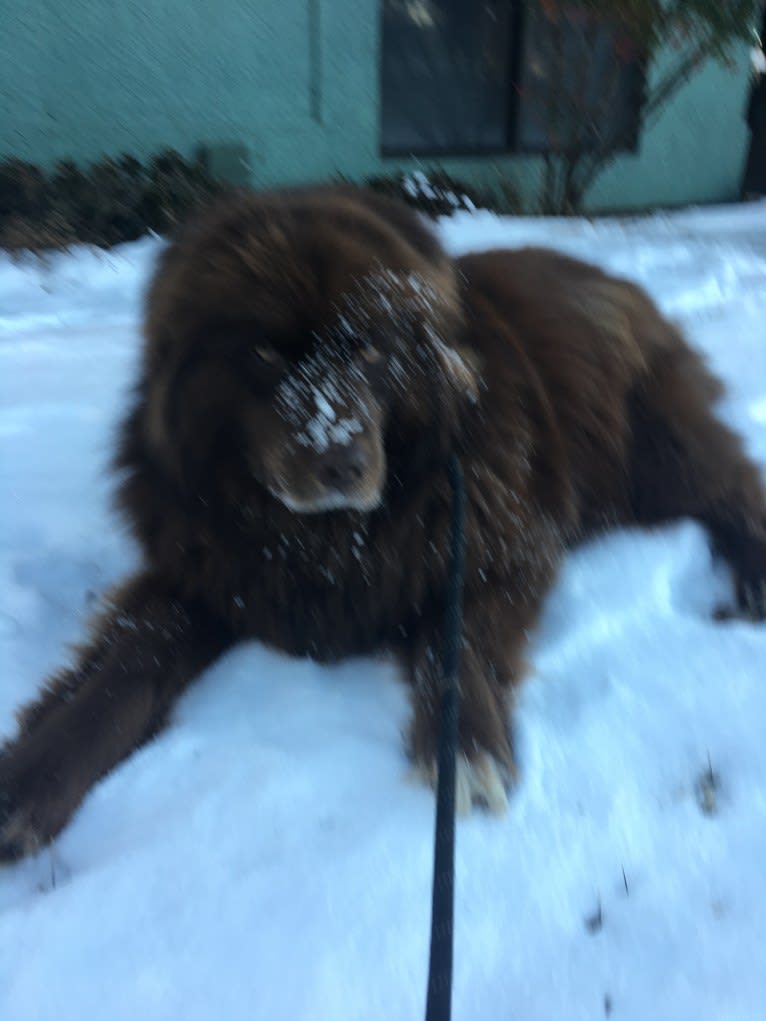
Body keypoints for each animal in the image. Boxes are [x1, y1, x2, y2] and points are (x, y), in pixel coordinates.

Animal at [1, 187, 766, 857]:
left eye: (369, 349)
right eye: (264, 352)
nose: (342, 461)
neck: (320, 536)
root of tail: (606, 275)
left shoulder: (494, 548)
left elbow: (450, 643)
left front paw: (466, 750)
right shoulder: (208, 566)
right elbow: (131, 661)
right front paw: (34, 774)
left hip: (650, 447)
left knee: (729, 486)